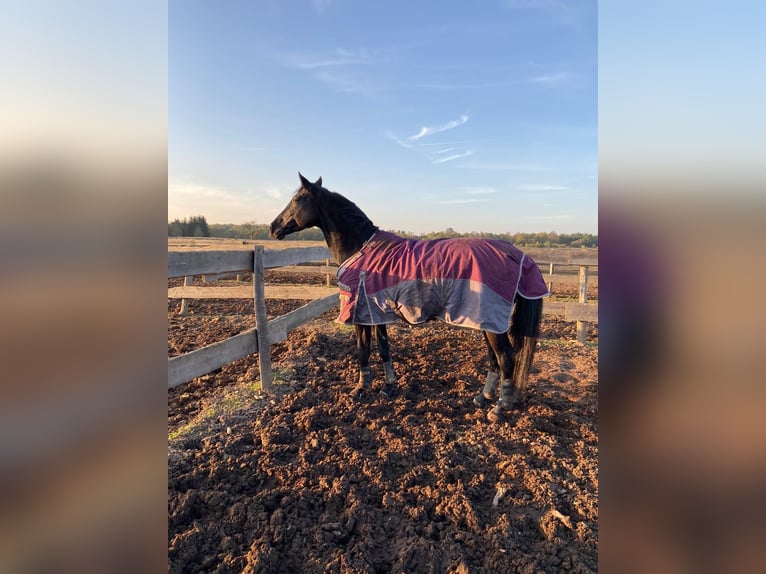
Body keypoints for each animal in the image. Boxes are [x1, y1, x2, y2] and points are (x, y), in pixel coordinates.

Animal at [270, 173, 544, 420]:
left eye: (298, 198)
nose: (273, 227)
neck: (360, 248)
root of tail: (517, 255)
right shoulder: (376, 313)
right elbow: (383, 348)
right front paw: (388, 387)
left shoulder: (361, 314)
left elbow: (363, 349)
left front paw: (360, 389)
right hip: (487, 322)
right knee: (494, 359)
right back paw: (482, 398)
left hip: (492, 323)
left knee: (506, 358)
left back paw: (499, 409)